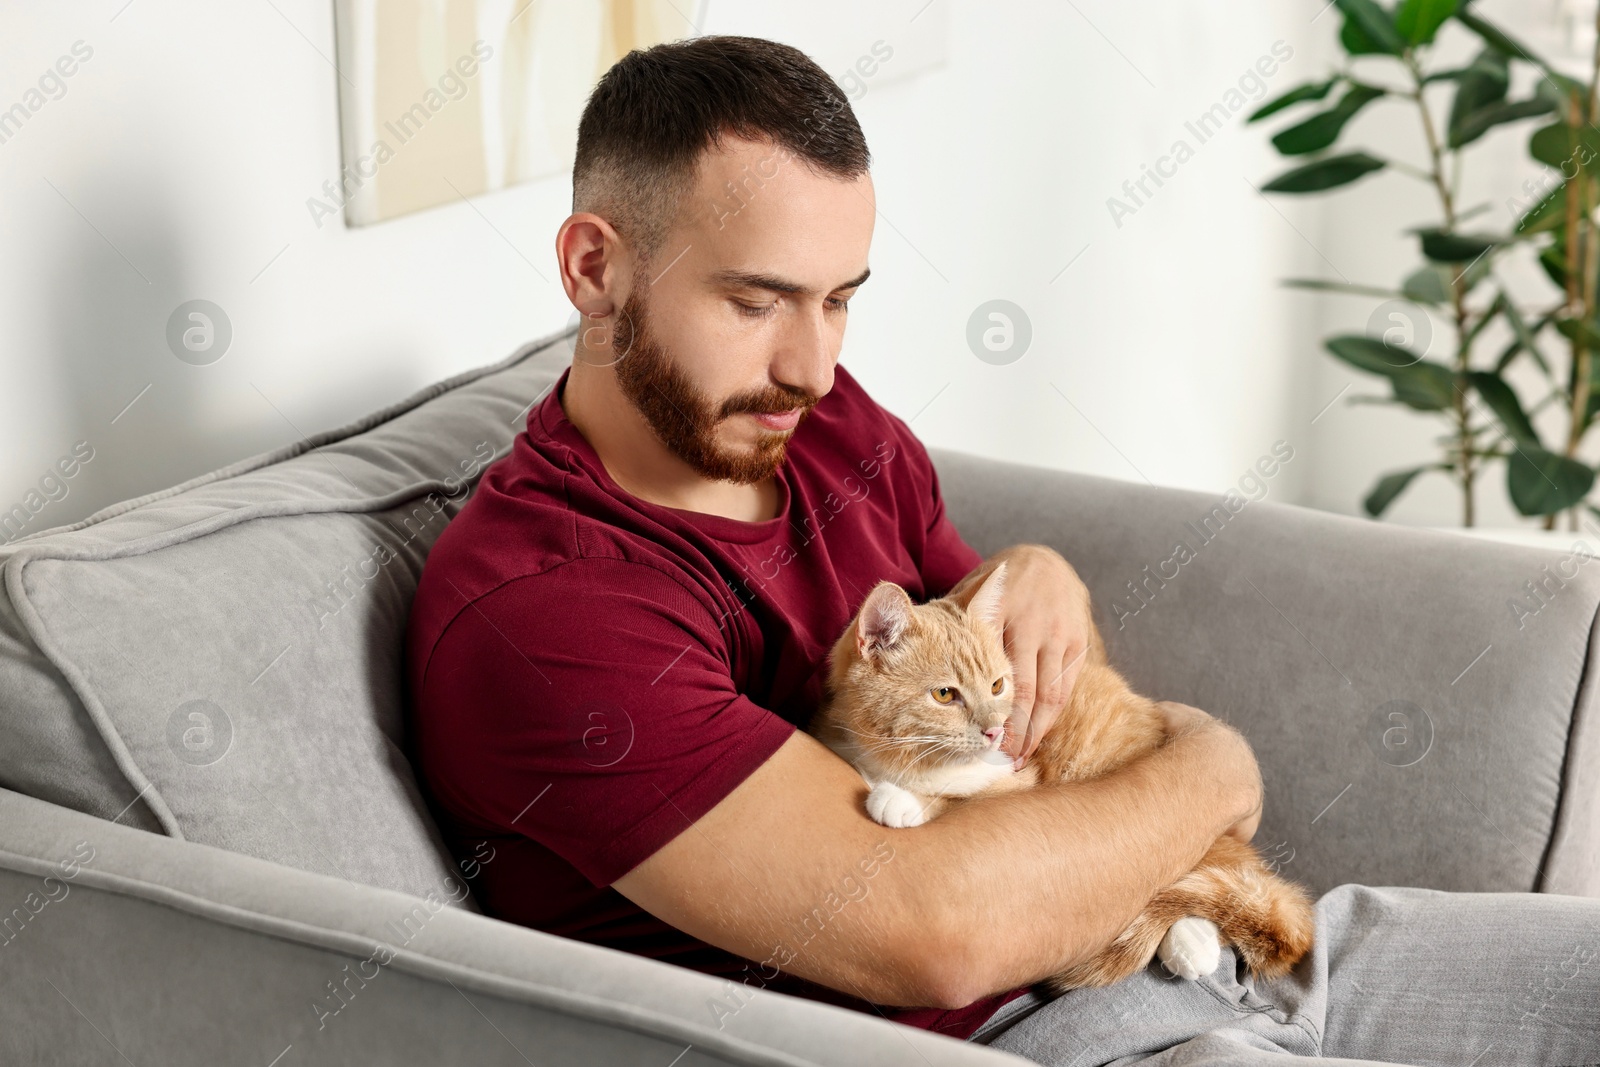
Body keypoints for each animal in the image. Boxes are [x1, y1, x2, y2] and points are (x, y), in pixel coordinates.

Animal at [812, 550, 1312, 991]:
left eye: (998, 686)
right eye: (944, 694)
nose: (995, 731)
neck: (899, 756)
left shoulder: (1019, 774)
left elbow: (964, 789)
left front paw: (904, 797)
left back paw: (1193, 944)